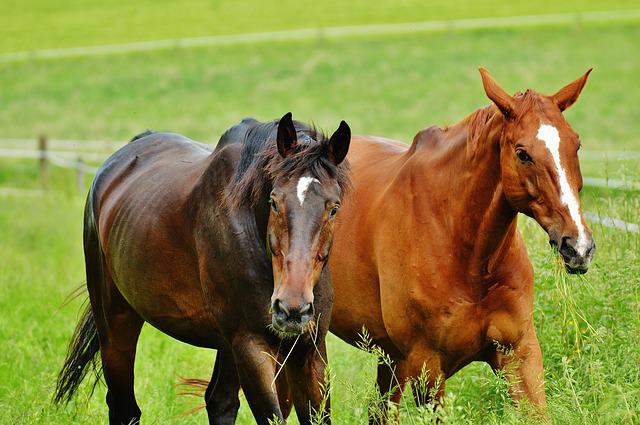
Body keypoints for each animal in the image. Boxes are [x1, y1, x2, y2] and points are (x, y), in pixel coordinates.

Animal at [53, 112, 351, 425]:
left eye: (334, 207)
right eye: (274, 202)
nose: (292, 309)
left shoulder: (309, 350)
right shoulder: (252, 346)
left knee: (219, 401)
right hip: (116, 321)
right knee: (124, 407)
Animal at [328, 68, 595, 421]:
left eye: (576, 144)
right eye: (522, 153)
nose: (578, 246)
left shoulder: (520, 354)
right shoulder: (427, 368)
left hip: (391, 359)